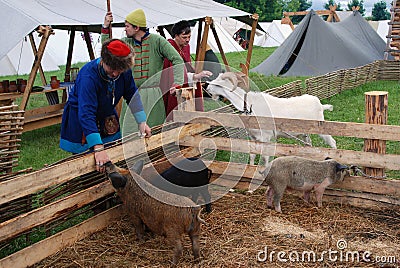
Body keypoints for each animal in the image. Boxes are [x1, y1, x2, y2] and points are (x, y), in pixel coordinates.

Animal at [208, 72, 336, 165]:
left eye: (218, 84)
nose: (208, 88)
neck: (249, 105)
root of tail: (320, 104)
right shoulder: (253, 137)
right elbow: (252, 155)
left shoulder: (265, 136)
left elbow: (265, 157)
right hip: (304, 133)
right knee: (309, 144)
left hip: (321, 128)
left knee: (332, 142)